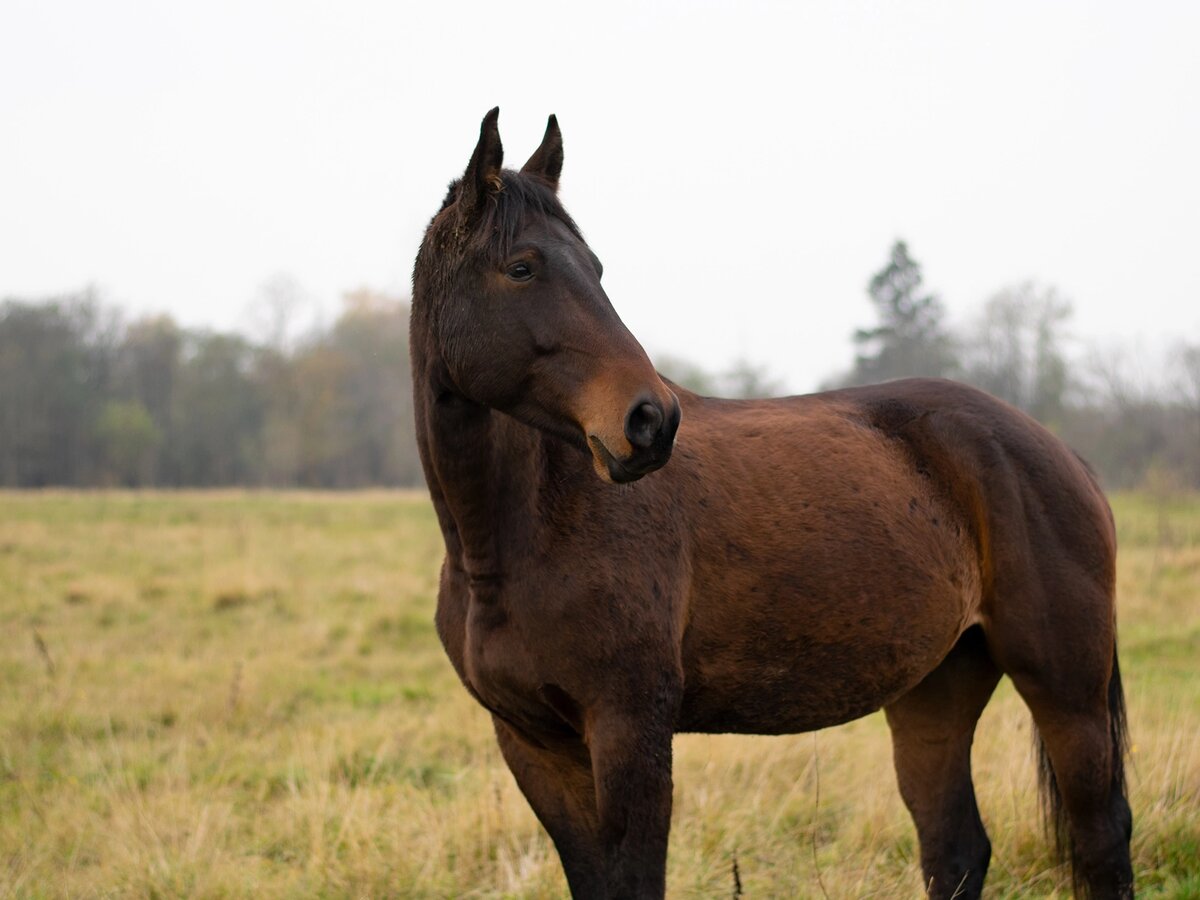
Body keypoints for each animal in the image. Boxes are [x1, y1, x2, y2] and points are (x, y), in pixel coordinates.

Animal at [412, 109, 1132, 897]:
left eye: (596, 269)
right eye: (522, 268)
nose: (650, 421)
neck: (518, 534)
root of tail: (1057, 452)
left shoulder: (630, 731)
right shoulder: (534, 745)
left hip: (1065, 691)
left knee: (1101, 838)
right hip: (935, 689)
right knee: (957, 849)